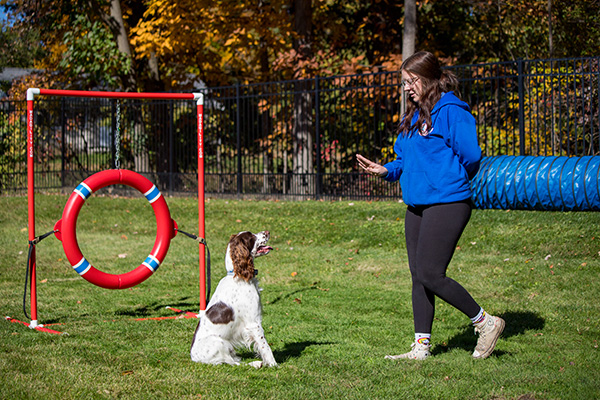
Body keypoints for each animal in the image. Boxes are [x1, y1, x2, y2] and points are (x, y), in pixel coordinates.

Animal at [190, 231, 276, 368]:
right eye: (251, 237)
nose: (267, 232)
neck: (238, 276)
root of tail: (194, 358)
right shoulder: (253, 323)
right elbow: (265, 346)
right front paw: (273, 364)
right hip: (220, 343)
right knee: (233, 363)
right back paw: (256, 364)